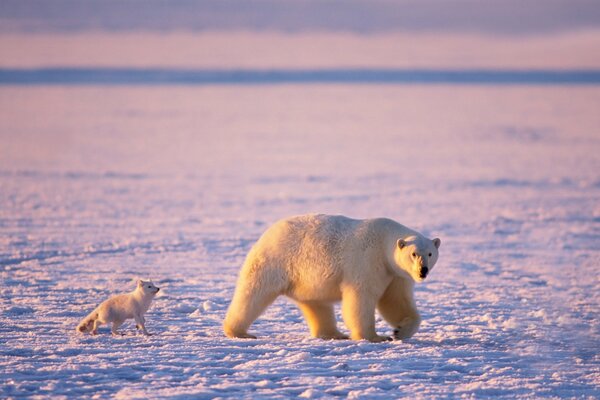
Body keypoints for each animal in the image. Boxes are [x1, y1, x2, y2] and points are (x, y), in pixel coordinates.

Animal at [223, 214, 438, 342]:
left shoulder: (395, 274)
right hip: (276, 261)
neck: (384, 241)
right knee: (254, 293)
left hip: (306, 280)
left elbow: (396, 301)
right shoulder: (367, 261)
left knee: (316, 304)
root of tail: (269, 232)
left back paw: (333, 334)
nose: (423, 271)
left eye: (430, 253)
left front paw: (400, 331)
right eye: (414, 254)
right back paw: (239, 332)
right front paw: (374, 337)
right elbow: (361, 298)